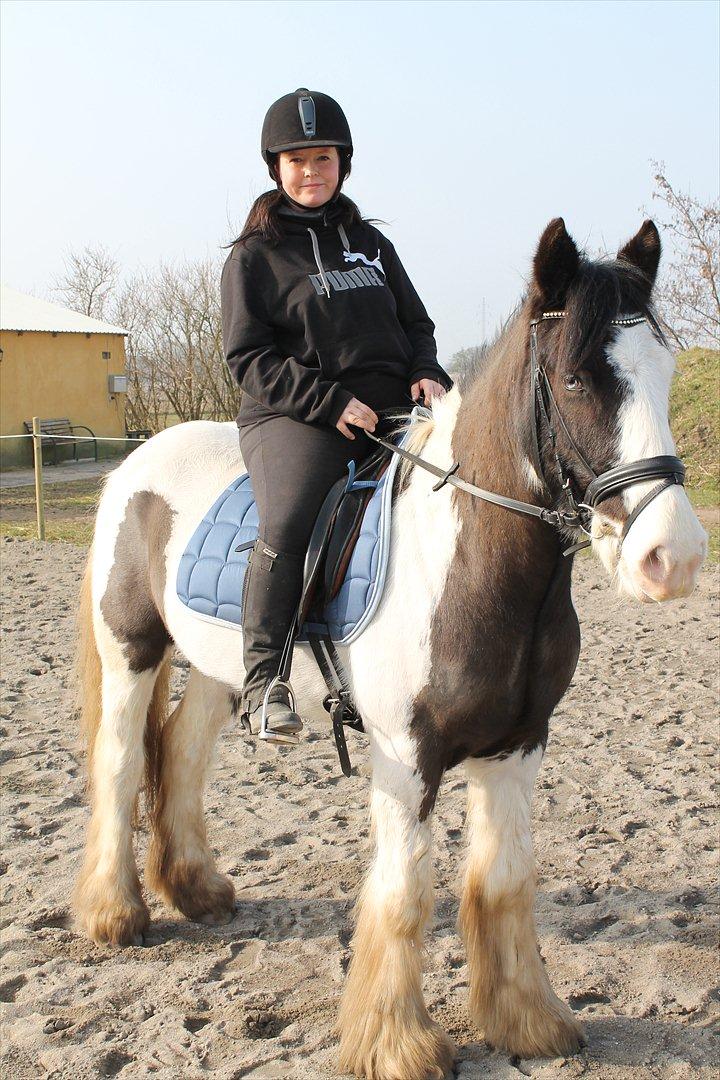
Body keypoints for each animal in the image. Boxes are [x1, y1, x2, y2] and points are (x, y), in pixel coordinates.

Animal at [74, 219, 708, 1080]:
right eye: (578, 381)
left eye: (665, 370)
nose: (672, 558)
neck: (470, 565)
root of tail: (137, 464)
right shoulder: (408, 757)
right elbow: (404, 896)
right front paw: (398, 1045)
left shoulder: (519, 746)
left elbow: (504, 882)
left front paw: (529, 1023)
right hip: (131, 652)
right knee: (117, 763)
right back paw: (115, 915)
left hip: (219, 671)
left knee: (181, 752)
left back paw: (197, 889)